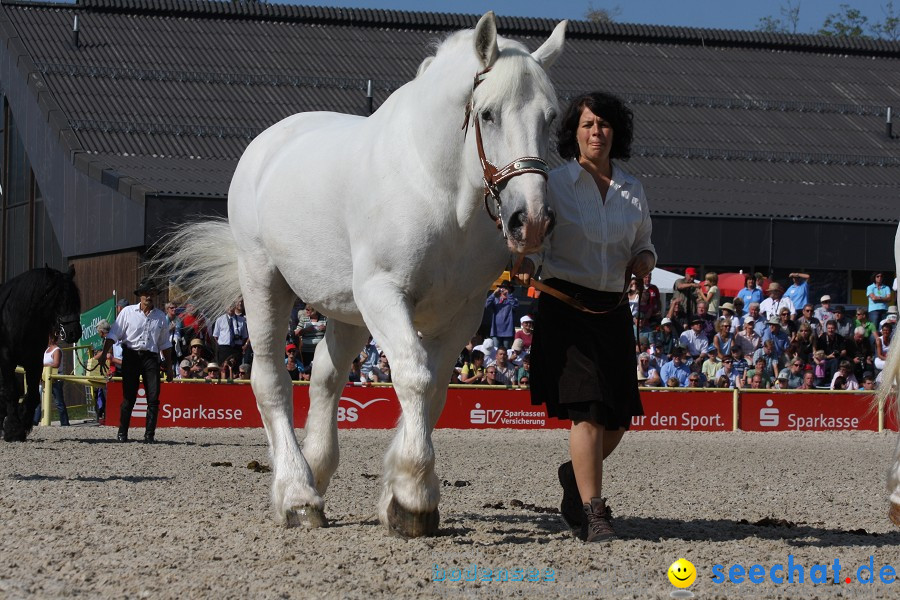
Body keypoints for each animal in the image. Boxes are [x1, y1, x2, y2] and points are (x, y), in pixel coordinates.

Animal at [0, 266, 81, 440]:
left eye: (76, 299)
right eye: (59, 299)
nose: (74, 333)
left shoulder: (34, 361)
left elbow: (33, 396)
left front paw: (21, 425)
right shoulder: (6, 360)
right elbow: (11, 392)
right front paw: (13, 429)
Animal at [155, 14, 564, 536]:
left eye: (551, 118)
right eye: (488, 114)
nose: (530, 220)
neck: (435, 187)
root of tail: (268, 143)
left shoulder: (462, 312)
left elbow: (434, 391)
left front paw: (399, 496)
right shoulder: (384, 295)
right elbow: (414, 378)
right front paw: (413, 496)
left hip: (346, 312)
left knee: (325, 378)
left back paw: (316, 471)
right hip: (265, 282)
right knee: (271, 380)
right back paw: (297, 493)